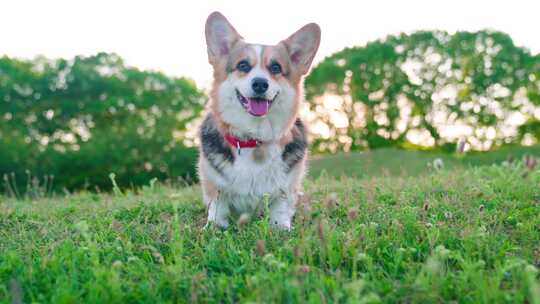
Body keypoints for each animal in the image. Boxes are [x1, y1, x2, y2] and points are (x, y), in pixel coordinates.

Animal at [199, 11, 320, 230]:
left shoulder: (286, 189)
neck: (254, 138)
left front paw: (280, 226)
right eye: (243, 65)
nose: (260, 84)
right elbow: (218, 206)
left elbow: (280, 207)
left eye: (276, 68)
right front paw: (213, 227)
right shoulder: (214, 184)